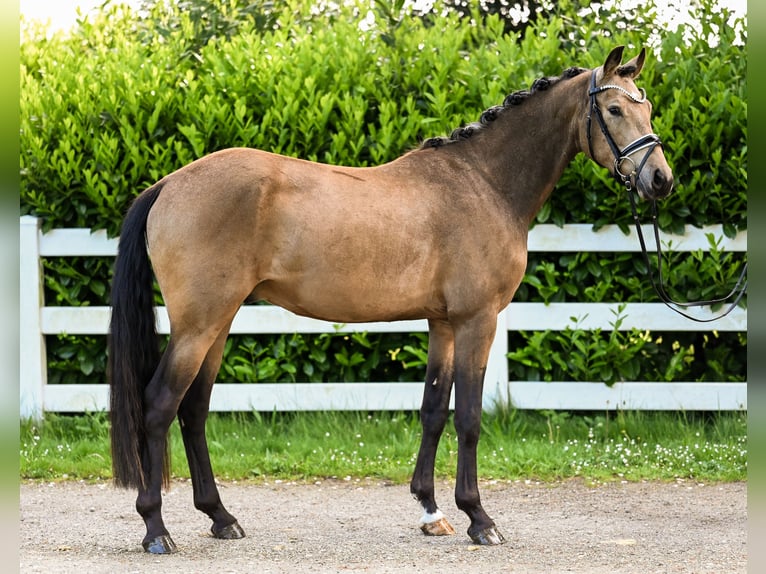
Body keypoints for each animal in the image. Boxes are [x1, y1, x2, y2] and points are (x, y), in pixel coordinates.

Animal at [108, 46, 672, 552]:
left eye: (647, 108)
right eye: (615, 109)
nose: (661, 179)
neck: (484, 183)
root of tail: (168, 184)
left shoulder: (443, 324)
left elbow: (433, 410)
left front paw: (432, 511)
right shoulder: (477, 321)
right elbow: (468, 418)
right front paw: (479, 518)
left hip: (217, 324)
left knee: (193, 409)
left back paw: (221, 518)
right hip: (198, 326)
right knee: (159, 405)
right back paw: (156, 529)